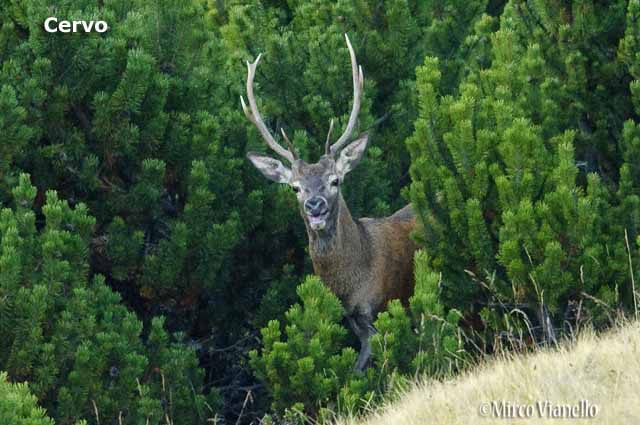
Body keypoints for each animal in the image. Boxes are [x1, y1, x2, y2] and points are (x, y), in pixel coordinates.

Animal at [242, 34, 418, 370]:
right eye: (295, 188)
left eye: (335, 180)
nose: (315, 206)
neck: (353, 283)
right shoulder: (356, 322)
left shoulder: (383, 307)